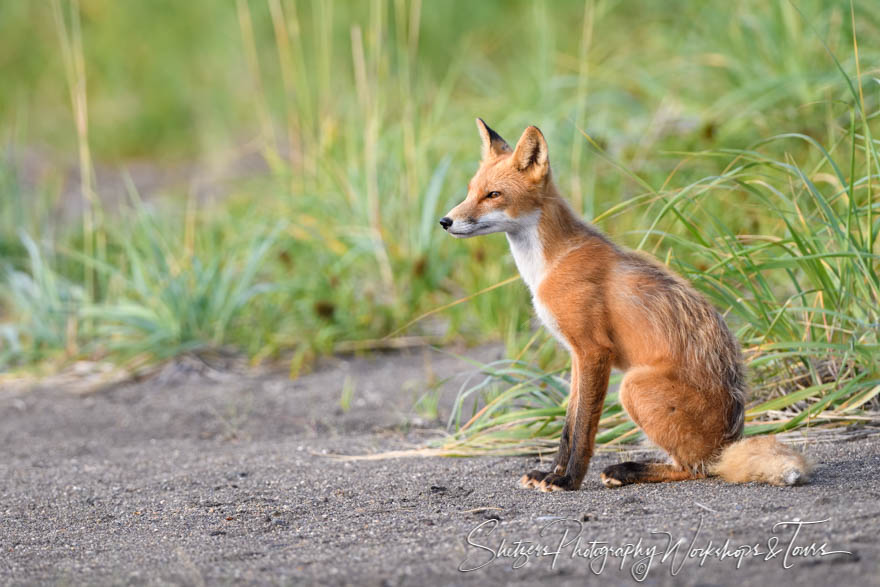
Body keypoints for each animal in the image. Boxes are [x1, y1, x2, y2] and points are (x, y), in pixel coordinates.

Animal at [440, 119, 812, 492]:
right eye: (470, 191)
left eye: (493, 195)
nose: (445, 221)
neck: (549, 265)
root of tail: (730, 442)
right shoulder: (577, 355)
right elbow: (568, 426)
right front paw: (552, 472)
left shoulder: (594, 350)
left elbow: (583, 430)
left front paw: (568, 480)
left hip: (633, 388)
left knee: (696, 468)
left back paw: (628, 470)